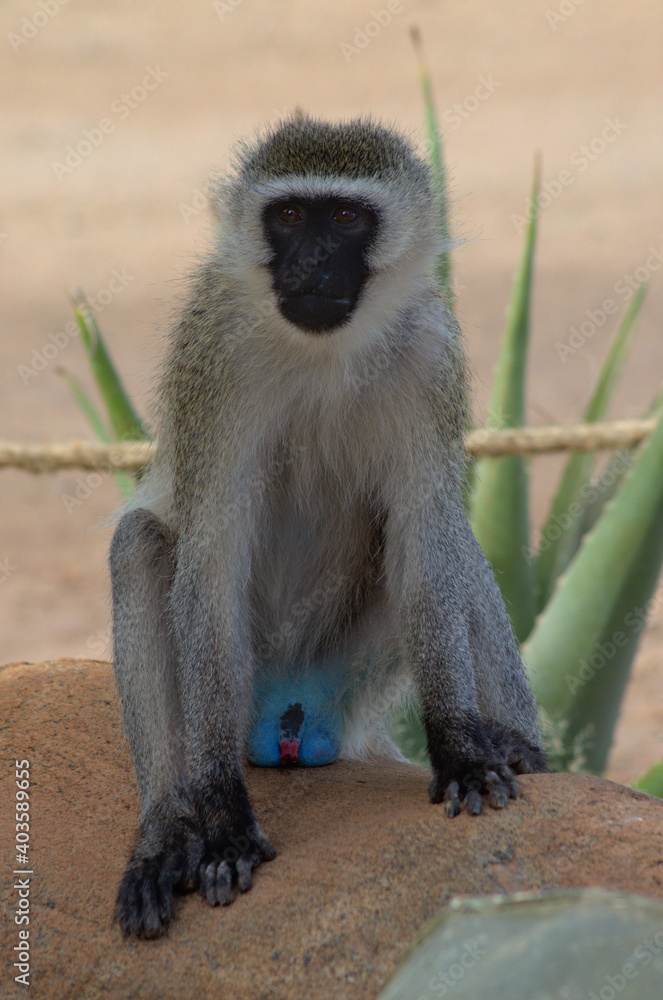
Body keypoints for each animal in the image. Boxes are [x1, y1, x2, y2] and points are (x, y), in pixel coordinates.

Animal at [110, 115, 545, 939]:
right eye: (287, 216)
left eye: (344, 218)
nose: (310, 259)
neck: (325, 352)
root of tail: (291, 703)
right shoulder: (217, 357)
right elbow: (209, 563)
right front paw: (221, 821)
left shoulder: (429, 355)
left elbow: (425, 539)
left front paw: (461, 749)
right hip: (247, 676)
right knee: (141, 547)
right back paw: (166, 832)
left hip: (352, 664)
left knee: (448, 536)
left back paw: (515, 745)